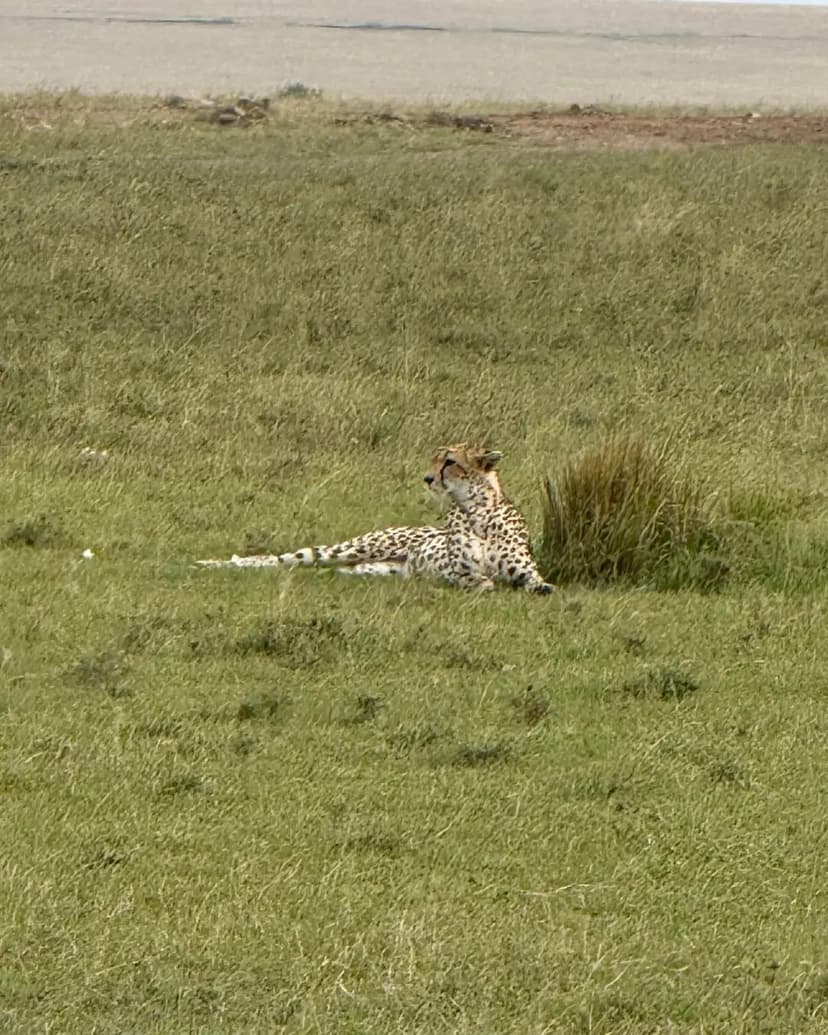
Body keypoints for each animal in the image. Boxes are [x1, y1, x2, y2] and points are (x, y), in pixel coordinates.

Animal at [196, 443, 554, 594]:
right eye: (434, 458)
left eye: (450, 461)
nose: (427, 478)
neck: (476, 509)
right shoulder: (456, 573)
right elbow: (477, 580)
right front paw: (485, 584)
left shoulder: (526, 571)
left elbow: (536, 582)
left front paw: (539, 588)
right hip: (348, 549)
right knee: (279, 558)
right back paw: (210, 564)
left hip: (367, 568)